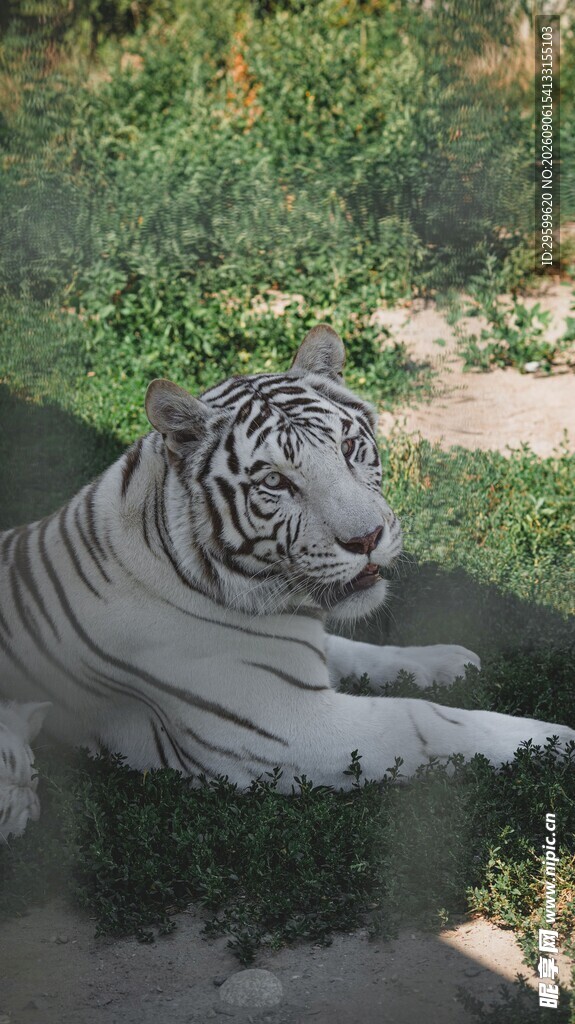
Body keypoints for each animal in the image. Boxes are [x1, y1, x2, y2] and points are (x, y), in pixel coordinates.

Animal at [0, 324, 573, 793]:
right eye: (275, 482)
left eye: (349, 447)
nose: (367, 538)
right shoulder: (288, 727)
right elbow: (427, 721)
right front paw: (554, 739)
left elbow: (361, 653)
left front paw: (446, 660)